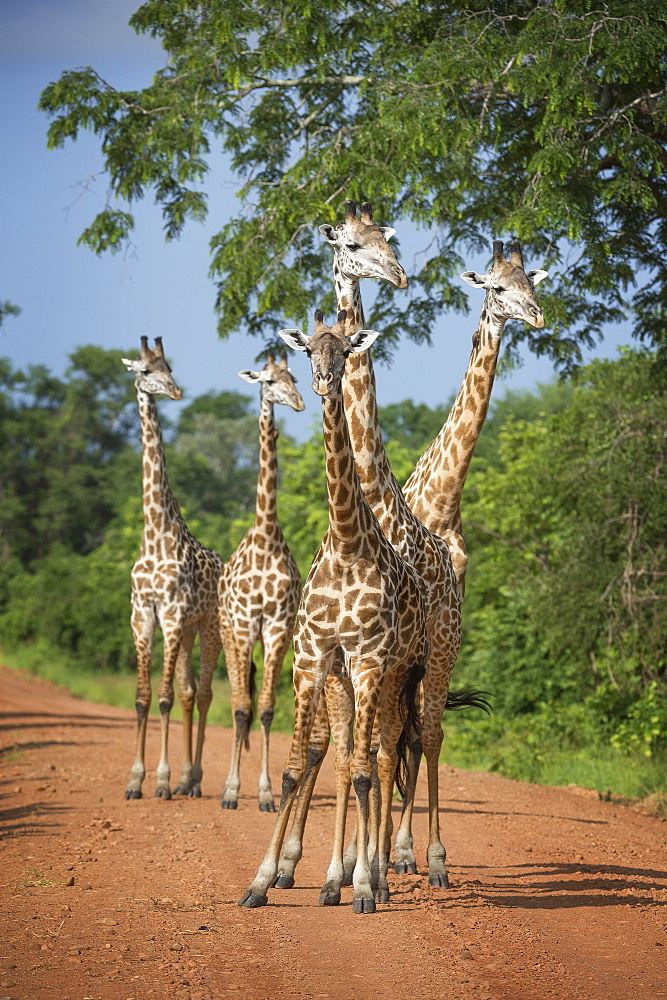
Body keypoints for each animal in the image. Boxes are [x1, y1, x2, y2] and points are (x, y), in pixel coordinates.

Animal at [237, 312, 430, 916]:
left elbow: (368, 774)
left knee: (383, 758)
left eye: (346, 351)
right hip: (347, 678)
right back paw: (331, 879)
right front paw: (260, 881)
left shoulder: (368, 659)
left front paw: (365, 886)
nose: (323, 380)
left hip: (396, 674)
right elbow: (296, 769)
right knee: (351, 756)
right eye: (307, 351)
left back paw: (378, 878)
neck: (346, 542)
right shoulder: (313, 656)